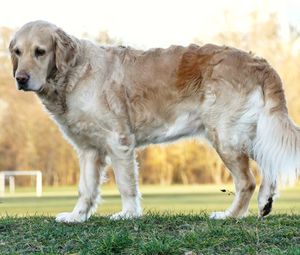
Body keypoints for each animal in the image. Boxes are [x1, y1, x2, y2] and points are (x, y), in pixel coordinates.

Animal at [8, 21, 298, 221]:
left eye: (40, 52)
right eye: (18, 52)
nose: (20, 78)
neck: (74, 74)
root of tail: (258, 62)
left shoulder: (118, 140)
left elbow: (126, 184)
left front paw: (127, 214)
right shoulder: (89, 149)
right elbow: (86, 188)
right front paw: (76, 217)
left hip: (226, 136)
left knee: (247, 181)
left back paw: (229, 216)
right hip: (243, 134)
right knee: (268, 165)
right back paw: (265, 202)